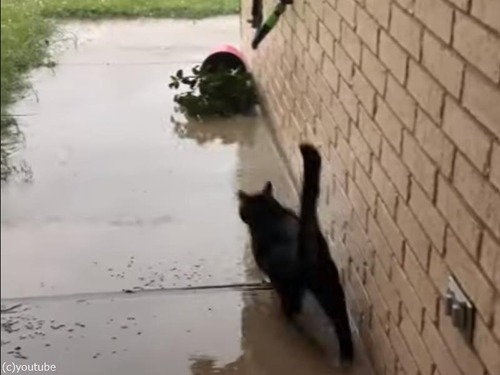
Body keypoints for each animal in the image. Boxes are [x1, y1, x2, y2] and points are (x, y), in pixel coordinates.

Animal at [238, 143, 356, 364]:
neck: (270, 214)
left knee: (293, 310)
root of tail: (305, 242)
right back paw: (346, 357)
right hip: (330, 286)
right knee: (341, 322)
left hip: (291, 287)